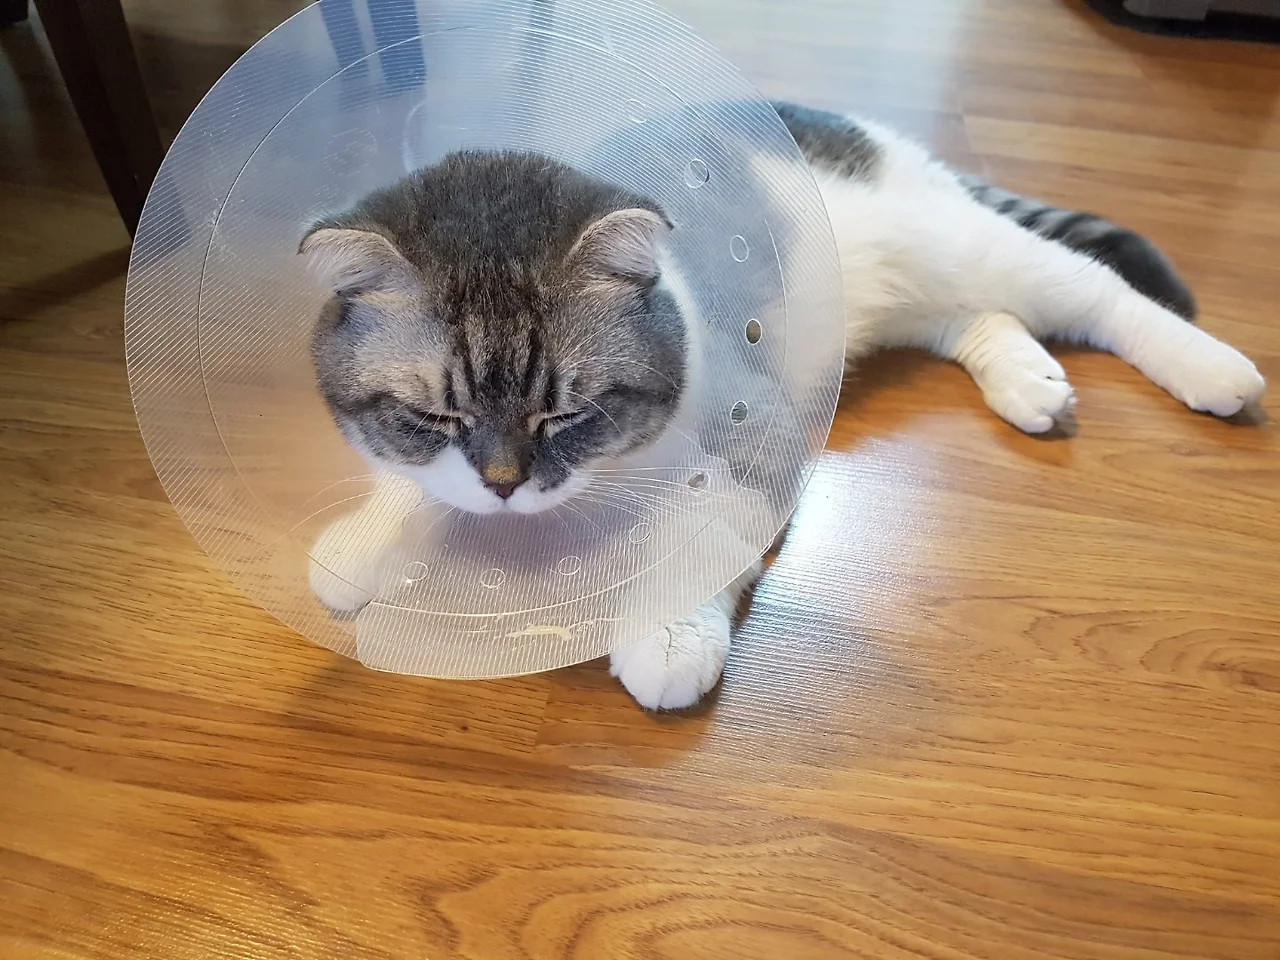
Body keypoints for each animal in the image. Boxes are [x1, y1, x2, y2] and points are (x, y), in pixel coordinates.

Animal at [301, 102, 1265, 710]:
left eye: (564, 412)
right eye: (438, 417)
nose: (504, 485)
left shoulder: (756, 436)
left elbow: (701, 532)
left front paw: (667, 638)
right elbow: (404, 493)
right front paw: (361, 543)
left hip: (969, 250)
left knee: (1094, 288)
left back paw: (1212, 366)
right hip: (902, 299)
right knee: (978, 318)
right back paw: (1031, 383)